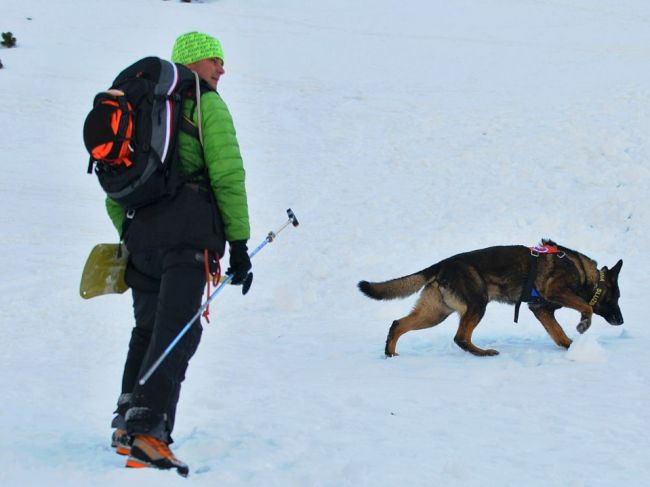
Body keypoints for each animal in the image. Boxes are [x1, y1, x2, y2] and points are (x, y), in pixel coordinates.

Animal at [356, 240, 620, 358]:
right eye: (615, 298)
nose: (621, 321)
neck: (585, 273)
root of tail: (443, 265)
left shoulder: (540, 309)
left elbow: (558, 334)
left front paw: (572, 347)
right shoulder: (556, 292)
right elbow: (585, 306)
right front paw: (583, 324)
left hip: (436, 313)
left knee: (398, 324)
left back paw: (390, 354)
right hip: (476, 304)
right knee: (460, 337)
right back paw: (482, 352)